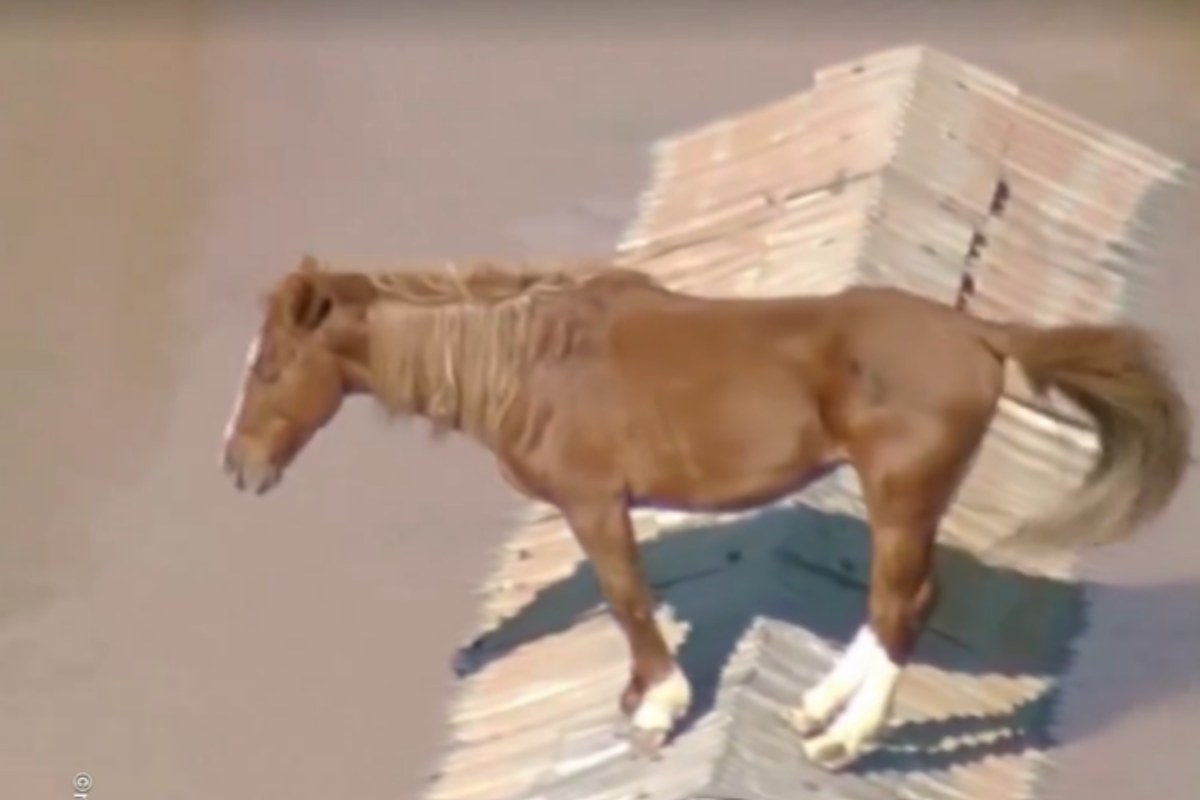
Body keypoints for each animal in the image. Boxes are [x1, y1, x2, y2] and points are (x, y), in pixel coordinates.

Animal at [220, 255, 1185, 767]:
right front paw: (638, 695)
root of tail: (979, 334)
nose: (237, 467)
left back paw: (842, 740)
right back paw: (818, 710)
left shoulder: (595, 503)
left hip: (903, 496)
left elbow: (626, 597)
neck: (531, 362)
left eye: (268, 367)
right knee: (896, 605)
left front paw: (658, 705)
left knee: (901, 605)